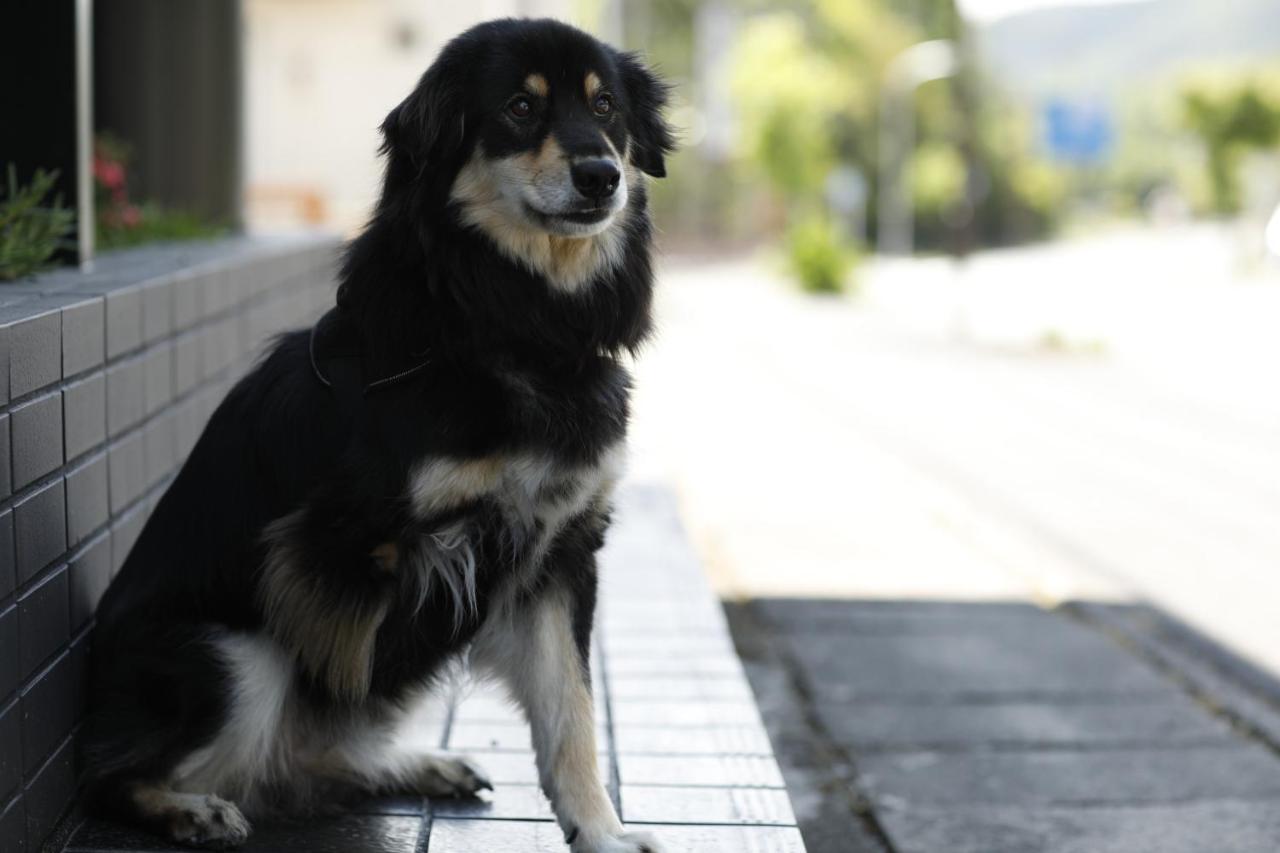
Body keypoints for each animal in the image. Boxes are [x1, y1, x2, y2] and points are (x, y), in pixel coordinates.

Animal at [82, 19, 670, 850]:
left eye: (606, 108)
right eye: (520, 107)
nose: (601, 176)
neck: (516, 327)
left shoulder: (558, 551)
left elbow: (571, 711)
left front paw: (601, 830)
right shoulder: (336, 545)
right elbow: (348, 659)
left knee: (309, 753)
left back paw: (413, 762)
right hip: (237, 654)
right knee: (116, 775)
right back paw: (189, 806)